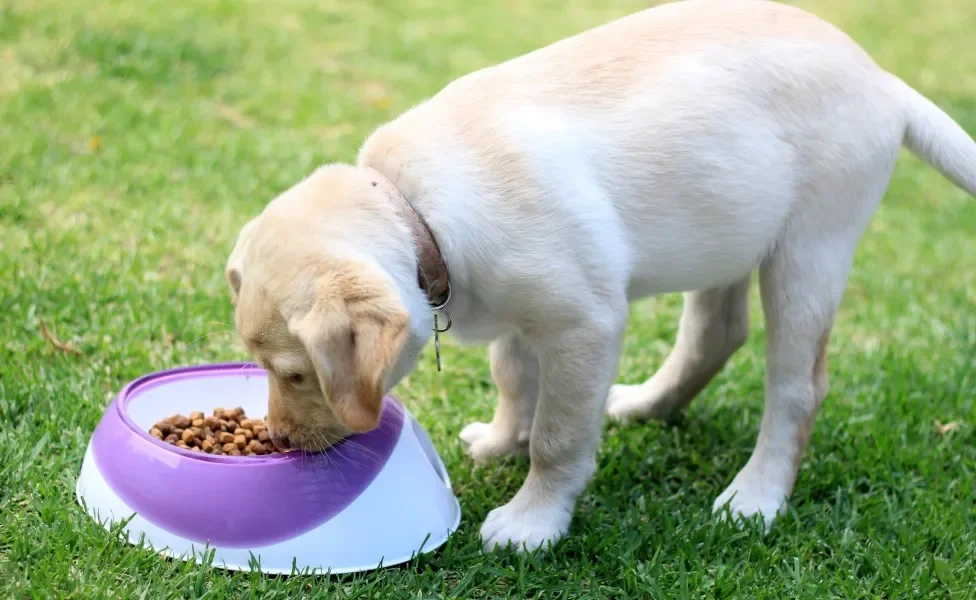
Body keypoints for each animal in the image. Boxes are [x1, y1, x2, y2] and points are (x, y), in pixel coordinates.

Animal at [227, 0, 976, 552]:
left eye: (298, 374)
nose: (280, 441)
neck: (418, 211)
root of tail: (883, 80)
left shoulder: (582, 323)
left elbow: (558, 437)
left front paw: (532, 521)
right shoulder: (524, 313)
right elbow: (512, 378)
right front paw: (501, 441)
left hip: (809, 250)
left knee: (796, 389)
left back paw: (756, 496)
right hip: (726, 228)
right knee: (716, 333)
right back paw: (645, 404)